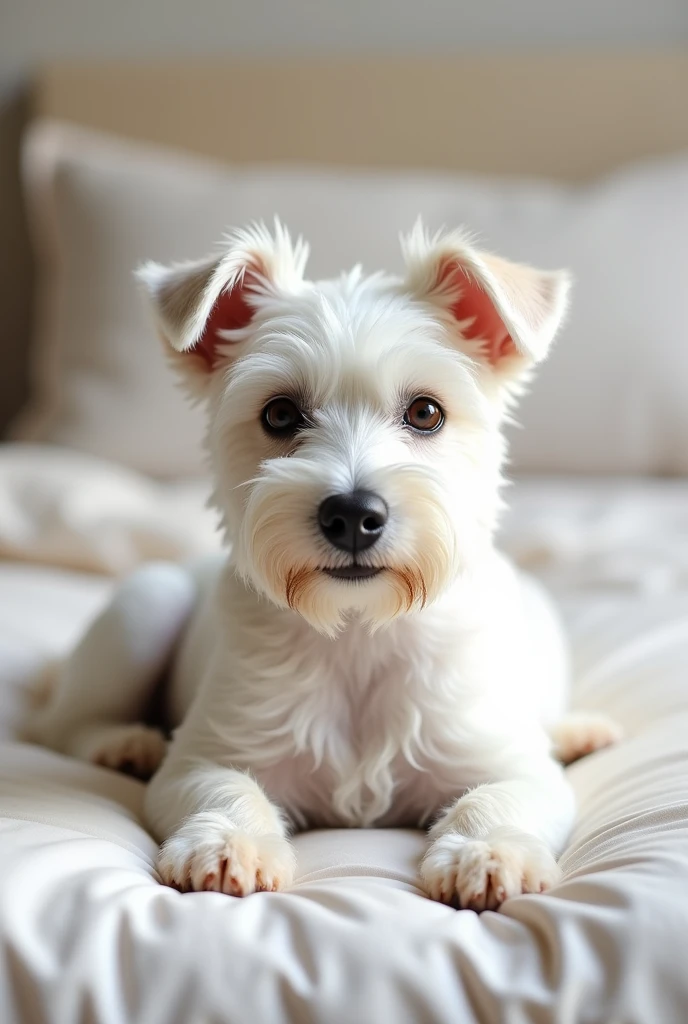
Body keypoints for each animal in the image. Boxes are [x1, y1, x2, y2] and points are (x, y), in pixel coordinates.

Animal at [29, 220, 622, 909]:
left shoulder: (513, 765)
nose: (353, 515)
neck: (358, 631)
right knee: (63, 724)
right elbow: (226, 788)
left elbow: (498, 797)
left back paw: (576, 731)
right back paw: (124, 742)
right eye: (280, 413)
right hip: (142, 607)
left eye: (426, 412)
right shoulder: (207, 755)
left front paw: (488, 853)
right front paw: (229, 843)